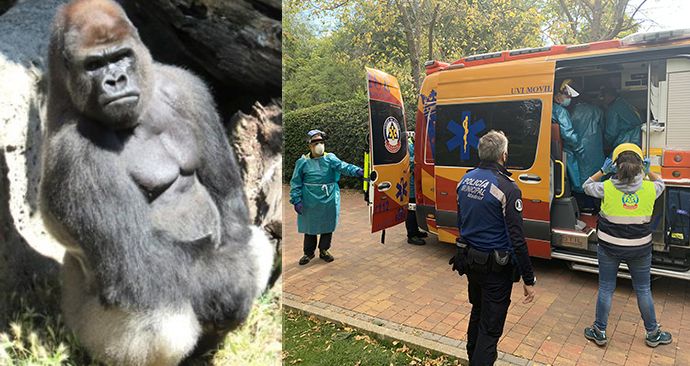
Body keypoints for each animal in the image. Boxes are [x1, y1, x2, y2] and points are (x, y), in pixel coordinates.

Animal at [39, 0, 272, 364]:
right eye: (94, 65)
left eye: (121, 56)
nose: (116, 80)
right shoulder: (76, 153)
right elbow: (139, 258)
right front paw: (231, 289)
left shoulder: (186, 87)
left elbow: (228, 201)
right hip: (84, 332)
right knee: (159, 311)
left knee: (255, 244)